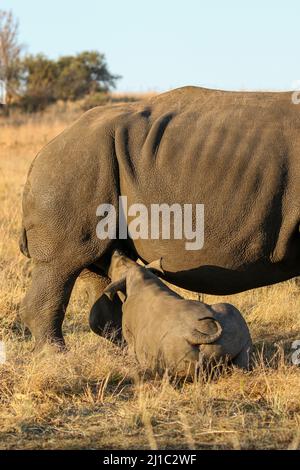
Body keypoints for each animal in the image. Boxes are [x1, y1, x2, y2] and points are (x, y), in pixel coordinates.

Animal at [18, 86, 300, 346]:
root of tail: (39, 155)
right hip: (75, 166)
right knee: (63, 263)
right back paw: (57, 354)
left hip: (93, 164)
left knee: (99, 264)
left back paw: (127, 349)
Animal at [104, 252, 252, 376]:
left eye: (118, 264)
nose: (116, 251)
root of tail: (197, 335)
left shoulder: (129, 335)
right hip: (237, 326)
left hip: (174, 351)